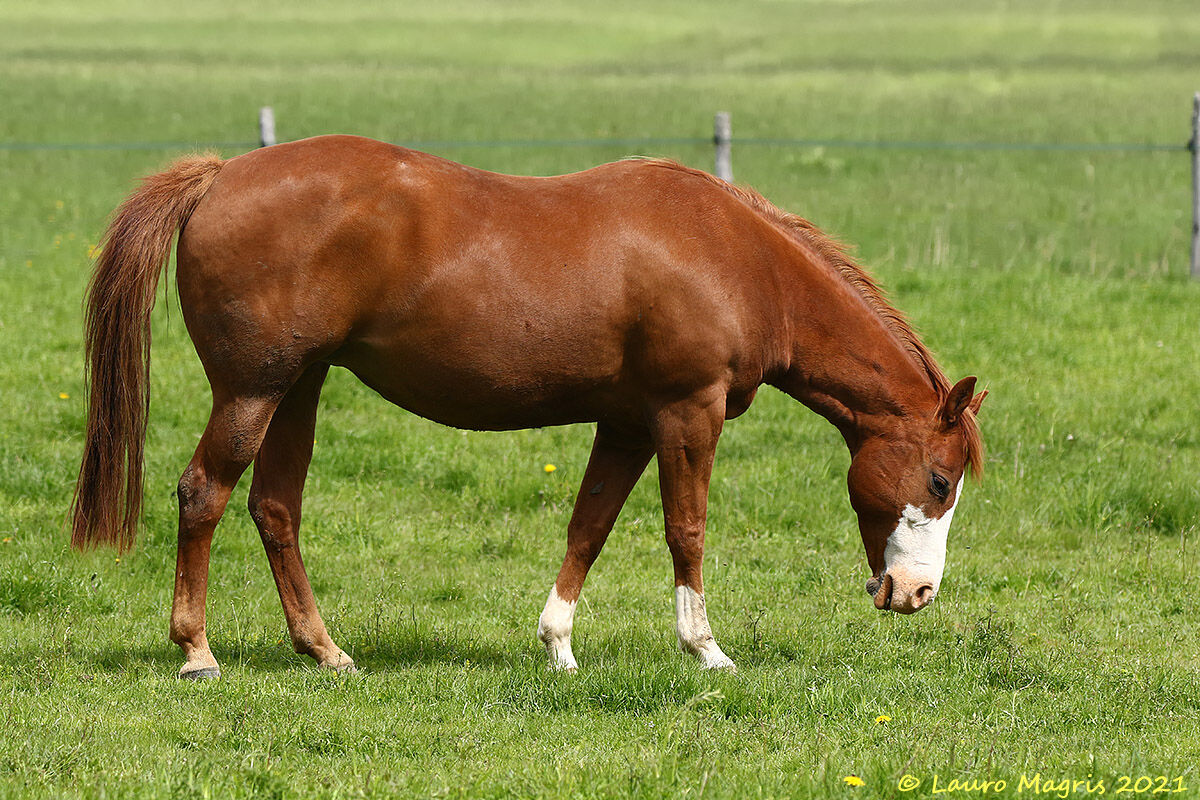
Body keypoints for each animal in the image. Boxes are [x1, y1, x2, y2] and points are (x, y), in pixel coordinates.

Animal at [71, 135, 985, 678]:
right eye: (940, 482)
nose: (916, 595)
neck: (737, 259)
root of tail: (221, 174)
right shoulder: (686, 414)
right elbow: (685, 530)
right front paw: (706, 650)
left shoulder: (627, 423)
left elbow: (590, 525)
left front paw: (558, 644)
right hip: (254, 390)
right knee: (205, 494)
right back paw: (196, 651)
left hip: (300, 386)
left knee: (274, 508)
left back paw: (324, 648)